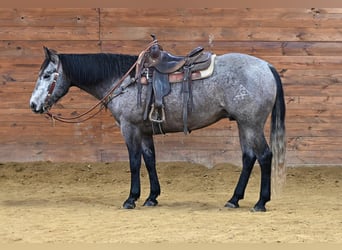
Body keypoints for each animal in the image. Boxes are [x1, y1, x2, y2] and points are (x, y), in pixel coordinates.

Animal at [29, 42, 286, 211]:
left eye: (47, 75)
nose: (33, 105)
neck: (125, 80)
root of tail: (266, 66)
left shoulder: (129, 128)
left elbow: (134, 162)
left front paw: (131, 199)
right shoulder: (144, 131)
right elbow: (150, 159)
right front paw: (151, 197)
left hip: (252, 124)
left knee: (264, 156)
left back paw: (260, 202)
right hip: (244, 124)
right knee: (248, 157)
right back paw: (234, 199)